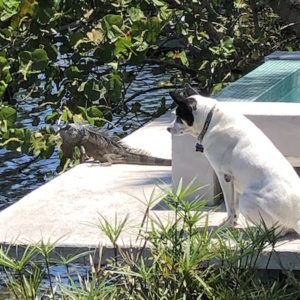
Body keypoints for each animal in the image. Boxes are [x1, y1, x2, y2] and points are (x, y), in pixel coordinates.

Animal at [168, 88, 300, 236]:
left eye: (179, 117)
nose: (168, 128)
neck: (211, 119)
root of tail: (297, 218)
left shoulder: (224, 176)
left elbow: (229, 206)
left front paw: (227, 226)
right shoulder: (234, 181)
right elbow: (234, 206)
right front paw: (233, 223)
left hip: (246, 201)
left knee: (277, 231)